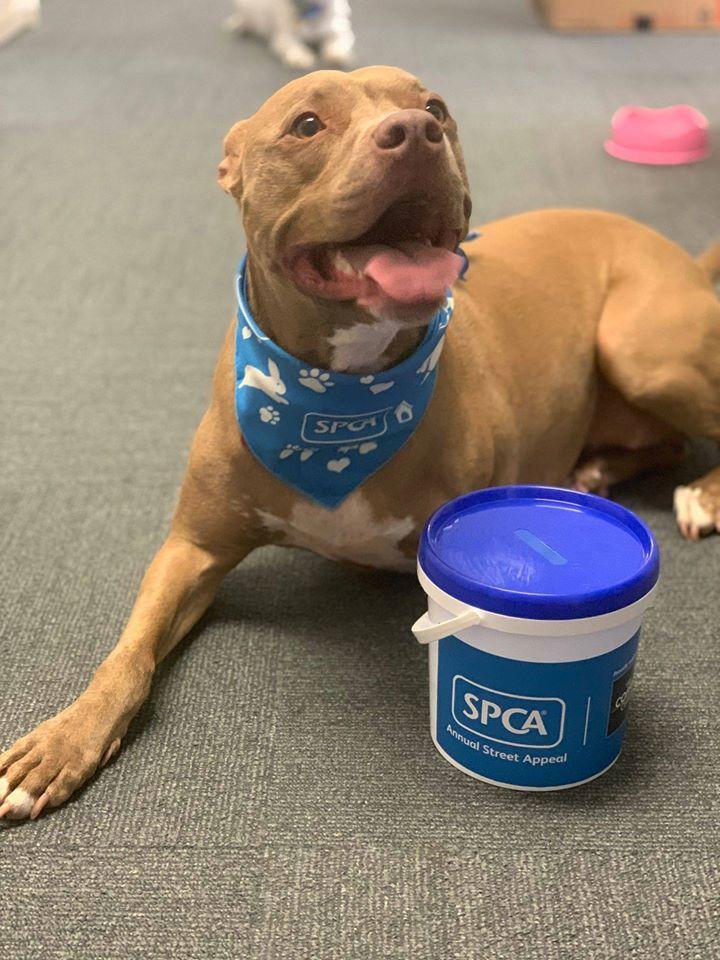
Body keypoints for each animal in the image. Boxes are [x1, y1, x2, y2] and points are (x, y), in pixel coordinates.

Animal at [2, 66, 719, 821]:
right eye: (307, 124)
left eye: (435, 106)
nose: (417, 131)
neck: (339, 405)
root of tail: (679, 253)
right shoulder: (191, 549)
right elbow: (128, 652)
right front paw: (65, 737)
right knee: (667, 443)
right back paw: (601, 467)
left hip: (644, 349)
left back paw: (696, 494)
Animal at [225, 0, 355, 71]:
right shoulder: (284, 37)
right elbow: (293, 46)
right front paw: (300, 57)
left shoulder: (339, 30)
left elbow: (337, 44)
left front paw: (337, 56)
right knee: (244, 18)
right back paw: (240, 26)